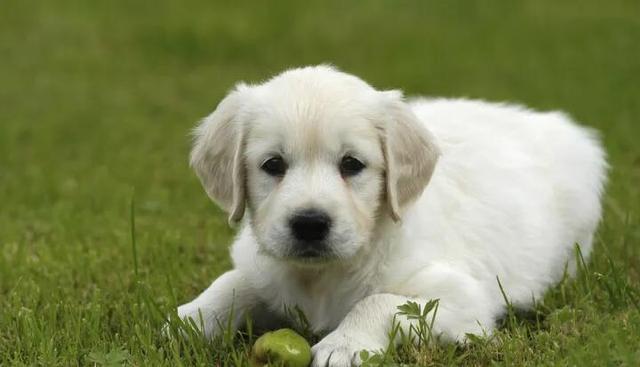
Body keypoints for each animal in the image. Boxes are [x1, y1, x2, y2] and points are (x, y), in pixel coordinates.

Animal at [178, 65, 608, 366]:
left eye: (352, 164)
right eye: (273, 165)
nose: (310, 224)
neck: (322, 277)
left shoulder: (463, 298)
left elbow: (380, 301)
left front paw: (344, 344)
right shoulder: (263, 268)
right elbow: (233, 282)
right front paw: (188, 319)